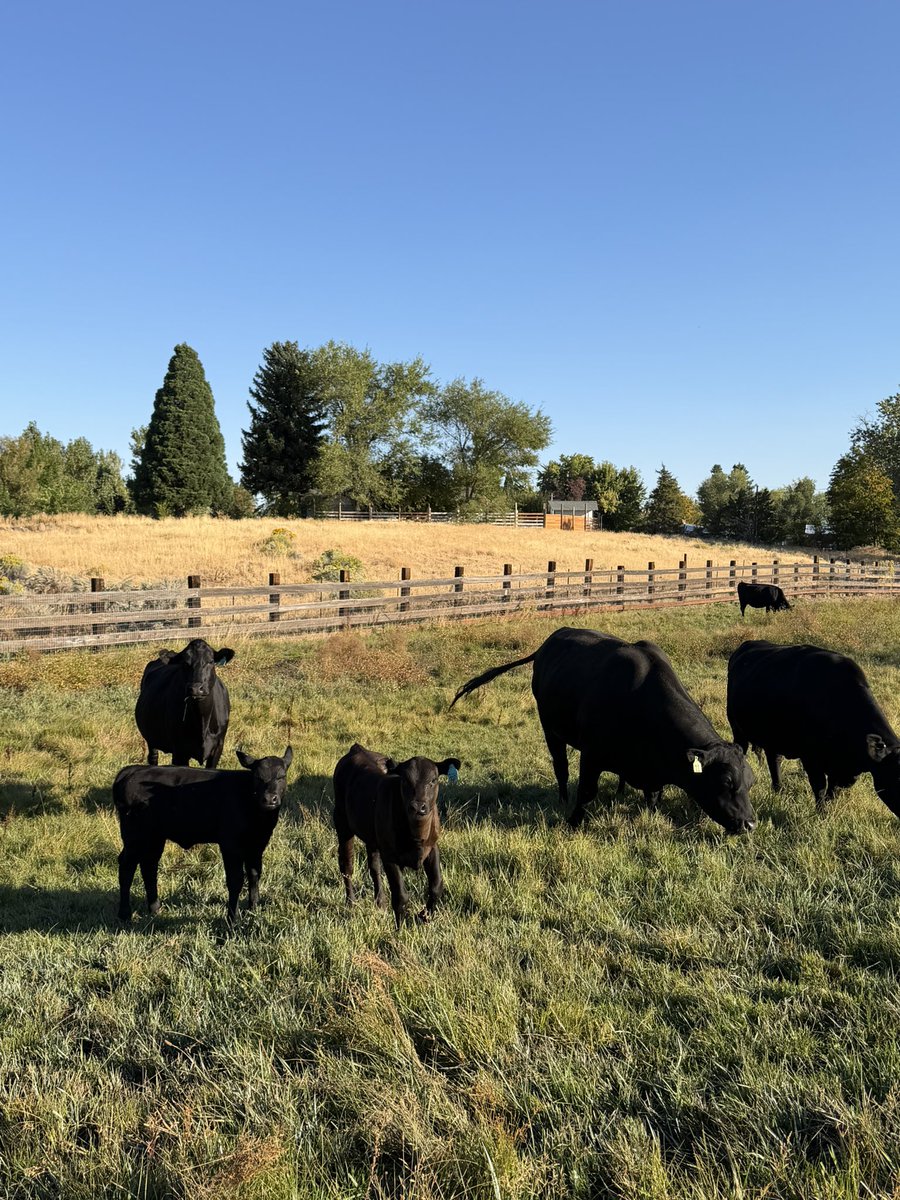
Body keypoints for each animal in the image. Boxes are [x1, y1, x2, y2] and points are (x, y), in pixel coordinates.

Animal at [114, 746, 292, 923]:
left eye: (282, 776)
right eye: (258, 777)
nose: (269, 799)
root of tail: (132, 770)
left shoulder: (257, 844)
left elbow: (254, 874)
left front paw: (253, 909)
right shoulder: (230, 845)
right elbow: (235, 880)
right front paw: (232, 919)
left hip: (155, 837)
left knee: (149, 866)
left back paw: (155, 908)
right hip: (135, 837)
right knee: (126, 867)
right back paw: (125, 914)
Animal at [135, 639, 234, 768]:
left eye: (211, 661)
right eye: (185, 663)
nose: (196, 688)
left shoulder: (218, 747)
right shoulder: (179, 751)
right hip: (151, 738)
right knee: (153, 758)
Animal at [333, 743, 461, 928]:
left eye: (433, 780)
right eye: (405, 780)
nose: (418, 806)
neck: (417, 836)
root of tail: (356, 748)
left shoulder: (432, 848)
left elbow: (436, 886)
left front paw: (424, 916)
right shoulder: (390, 855)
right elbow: (400, 895)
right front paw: (400, 928)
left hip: (372, 836)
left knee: (374, 867)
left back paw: (380, 902)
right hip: (342, 823)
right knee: (347, 866)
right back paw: (351, 902)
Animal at [451, 626, 756, 834]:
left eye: (750, 782)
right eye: (726, 781)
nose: (749, 823)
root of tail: (549, 642)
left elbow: (654, 796)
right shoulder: (592, 755)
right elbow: (586, 791)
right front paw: (573, 821)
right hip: (550, 729)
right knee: (560, 767)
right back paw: (563, 799)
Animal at [727, 639, 900, 813]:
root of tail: (749, 643)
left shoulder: (838, 766)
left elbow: (834, 788)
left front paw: (830, 806)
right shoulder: (811, 757)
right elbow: (820, 786)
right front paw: (821, 812)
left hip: (773, 736)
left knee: (774, 759)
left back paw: (778, 789)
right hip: (738, 730)